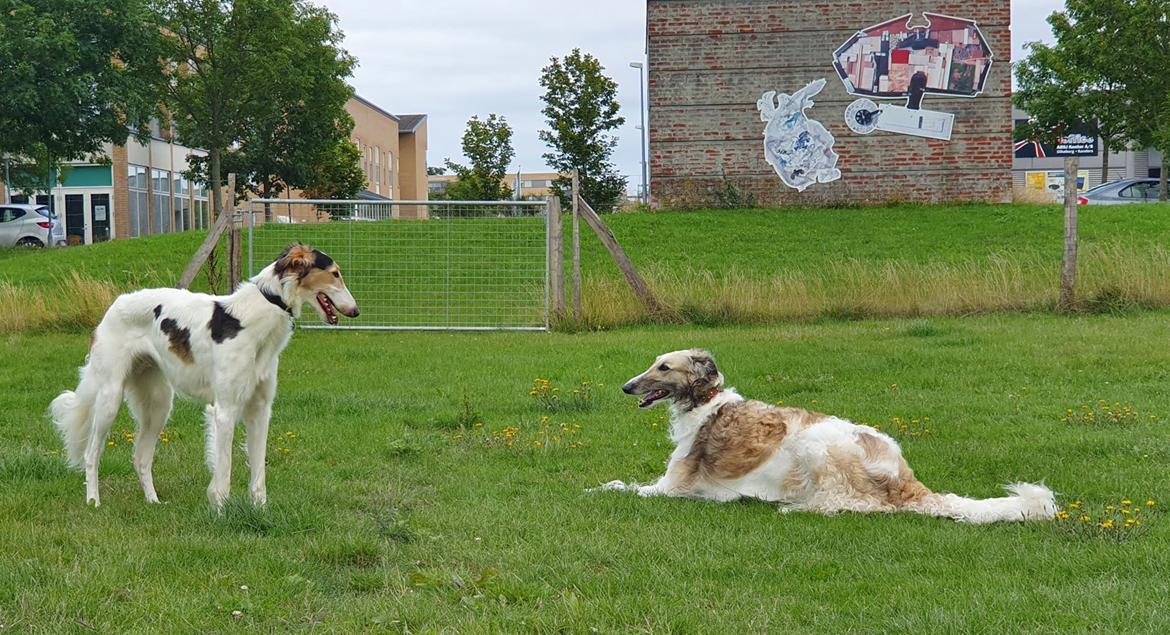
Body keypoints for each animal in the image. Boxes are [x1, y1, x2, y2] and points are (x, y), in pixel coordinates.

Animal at [50, 240, 358, 509]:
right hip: (110, 398)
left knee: (141, 458)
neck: (258, 316)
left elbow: (258, 473)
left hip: (159, 405)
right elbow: (224, 471)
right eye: (335, 273)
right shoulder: (224, 409)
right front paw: (220, 511)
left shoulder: (260, 410)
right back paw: (93, 501)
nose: (356, 311)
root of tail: (114, 305)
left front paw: (260, 510)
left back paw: (153, 501)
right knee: (91, 453)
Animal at [603, 350, 1062, 523]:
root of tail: (905, 477)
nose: (625, 387)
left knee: (852, 504)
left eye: (663, 367)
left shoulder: (672, 486)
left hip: (815, 444)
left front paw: (599, 489)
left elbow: (620, 485)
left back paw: (792, 508)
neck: (705, 402)